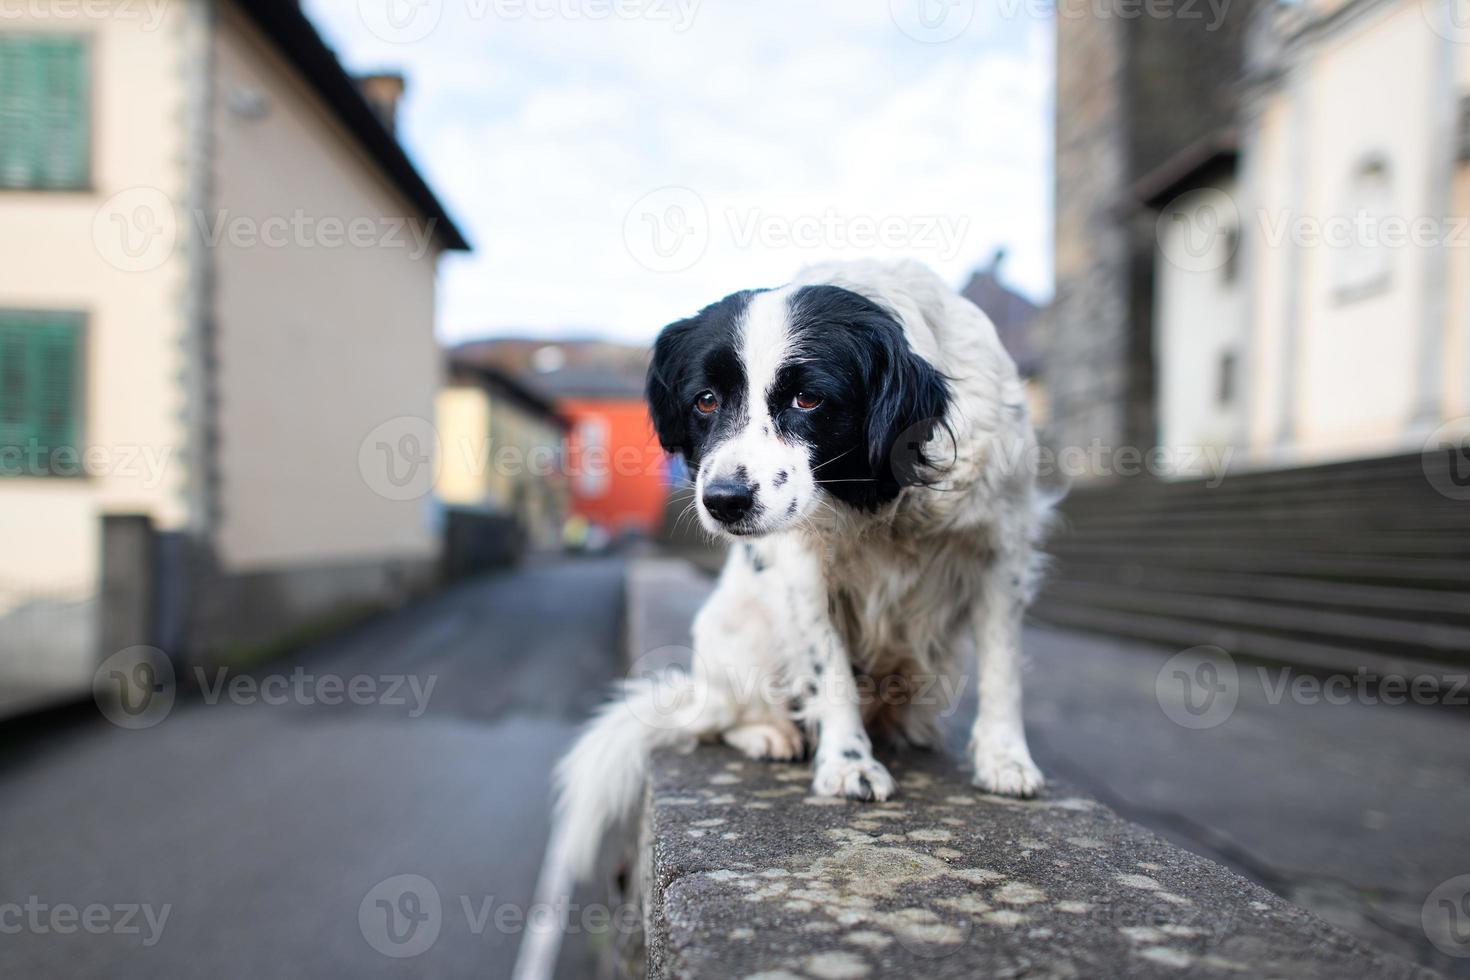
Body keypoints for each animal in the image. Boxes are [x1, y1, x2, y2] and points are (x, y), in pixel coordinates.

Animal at [555, 258, 1052, 875]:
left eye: (809, 400)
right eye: (705, 400)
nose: (723, 501)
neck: (885, 493)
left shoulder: (1002, 548)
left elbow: (1003, 669)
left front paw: (1005, 758)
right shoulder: (802, 569)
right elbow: (828, 669)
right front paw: (847, 763)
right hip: (737, 635)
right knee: (730, 716)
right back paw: (770, 735)